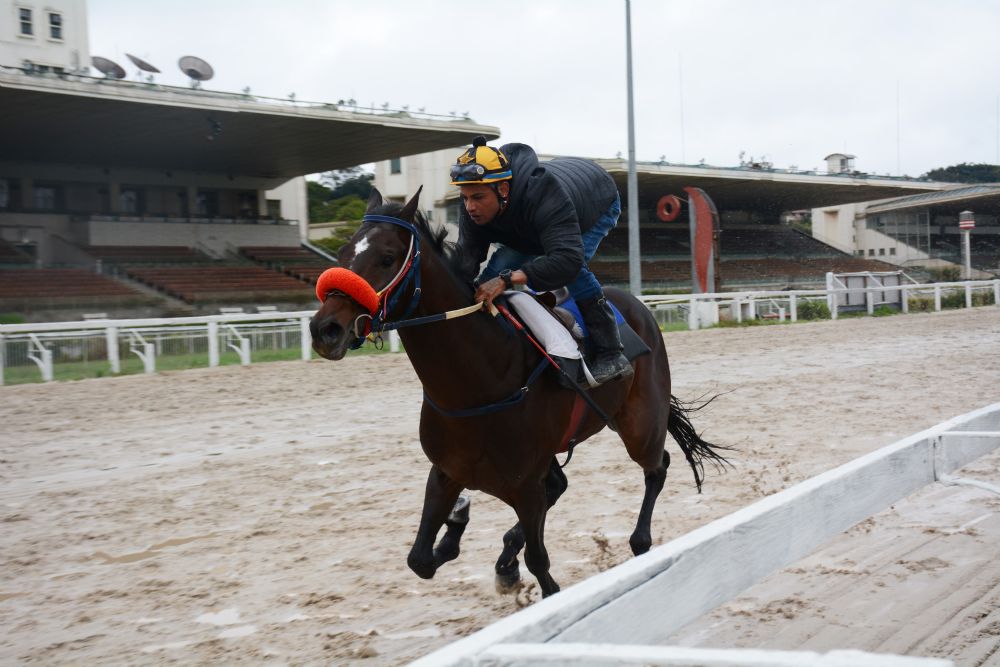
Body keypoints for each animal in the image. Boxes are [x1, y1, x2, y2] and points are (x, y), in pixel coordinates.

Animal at [309, 187, 728, 598]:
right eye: (342, 254)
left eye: (387, 257)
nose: (324, 330)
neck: (477, 383)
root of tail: (637, 306)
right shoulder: (448, 471)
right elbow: (420, 559)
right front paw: (459, 526)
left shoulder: (525, 483)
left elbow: (542, 568)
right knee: (561, 485)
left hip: (641, 423)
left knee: (657, 466)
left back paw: (639, 541)